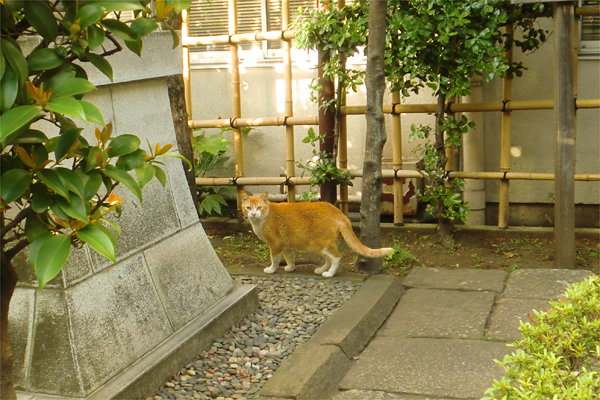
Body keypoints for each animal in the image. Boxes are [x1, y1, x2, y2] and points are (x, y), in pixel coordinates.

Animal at [239, 191, 394, 278]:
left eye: (259, 207)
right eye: (248, 208)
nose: (253, 214)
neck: (261, 220)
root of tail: (338, 211)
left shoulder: (275, 244)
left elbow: (275, 259)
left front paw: (271, 269)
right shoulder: (286, 245)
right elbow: (289, 257)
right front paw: (291, 268)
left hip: (321, 244)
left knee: (336, 258)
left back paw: (329, 274)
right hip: (324, 245)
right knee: (328, 259)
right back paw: (322, 270)